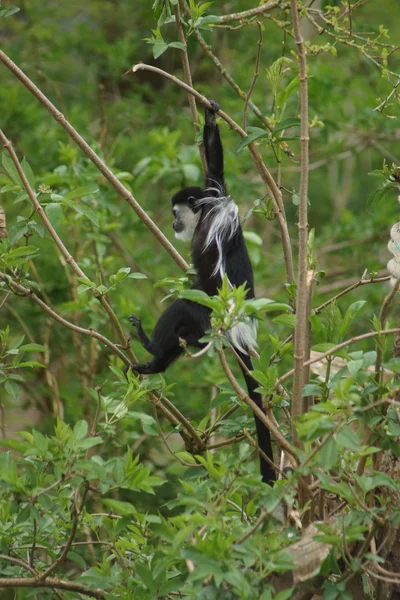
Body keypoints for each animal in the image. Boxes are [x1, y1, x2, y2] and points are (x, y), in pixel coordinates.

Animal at [128, 102, 276, 488]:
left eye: (175, 212)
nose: (172, 224)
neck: (207, 210)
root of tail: (237, 330)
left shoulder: (213, 223)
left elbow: (209, 276)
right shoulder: (216, 190)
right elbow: (214, 170)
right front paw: (210, 118)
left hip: (207, 317)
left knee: (182, 309)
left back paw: (150, 348)